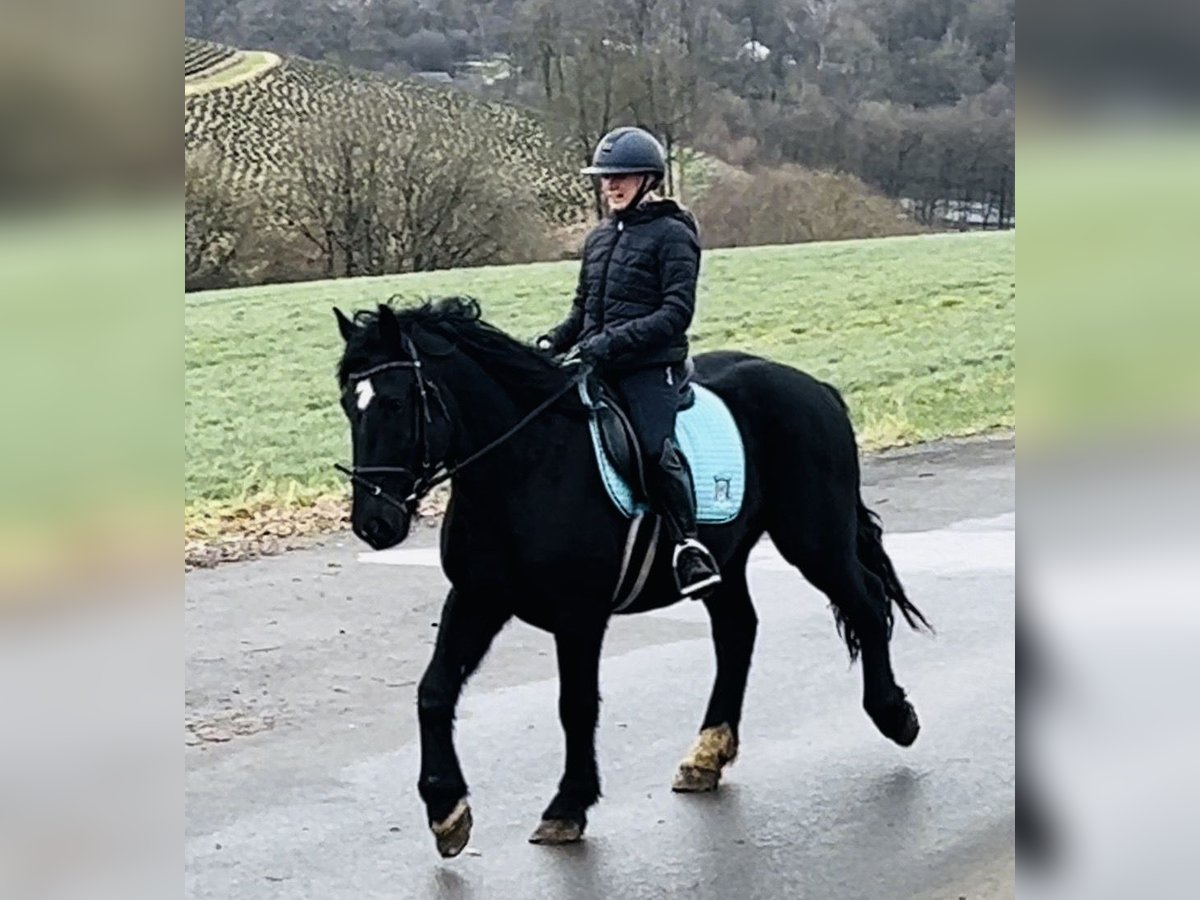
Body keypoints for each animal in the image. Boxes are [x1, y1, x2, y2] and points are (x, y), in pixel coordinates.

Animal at [333, 297, 931, 859]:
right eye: (348, 404)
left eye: (395, 401)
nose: (374, 523)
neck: (526, 465)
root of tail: (817, 390)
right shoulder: (478, 597)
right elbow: (433, 692)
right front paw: (446, 811)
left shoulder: (579, 615)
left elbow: (575, 706)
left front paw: (567, 807)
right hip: (729, 559)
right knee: (738, 631)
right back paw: (706, 755)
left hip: (814, 541)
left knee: (866, 603)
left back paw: (894, 715)